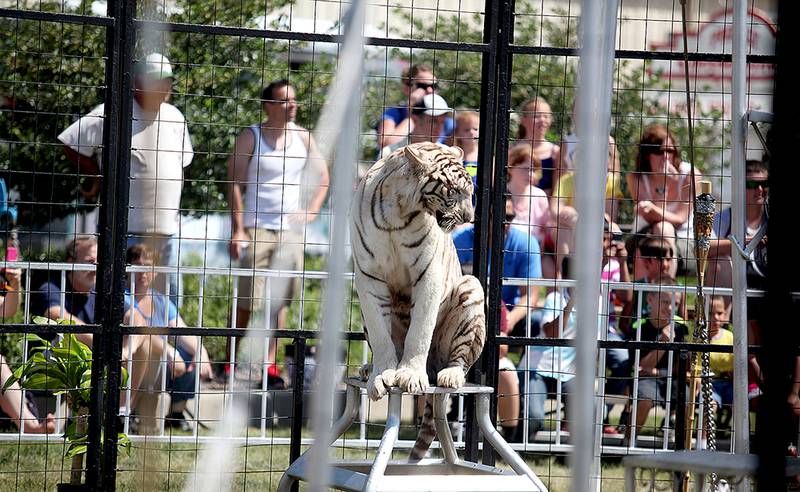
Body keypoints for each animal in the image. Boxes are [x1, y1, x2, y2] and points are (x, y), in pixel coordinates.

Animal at [352, 144, 488, 460]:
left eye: (470, 192)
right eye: (453, 191)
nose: (469, 218)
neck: (399, 211)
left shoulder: (428, 275)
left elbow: (419, 332)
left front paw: (410, 375)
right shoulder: (368, 277)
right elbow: (381, 336)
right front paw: (382, 374)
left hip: (471, 287)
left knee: (459, 361)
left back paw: (449, 374)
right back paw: (367, 369)